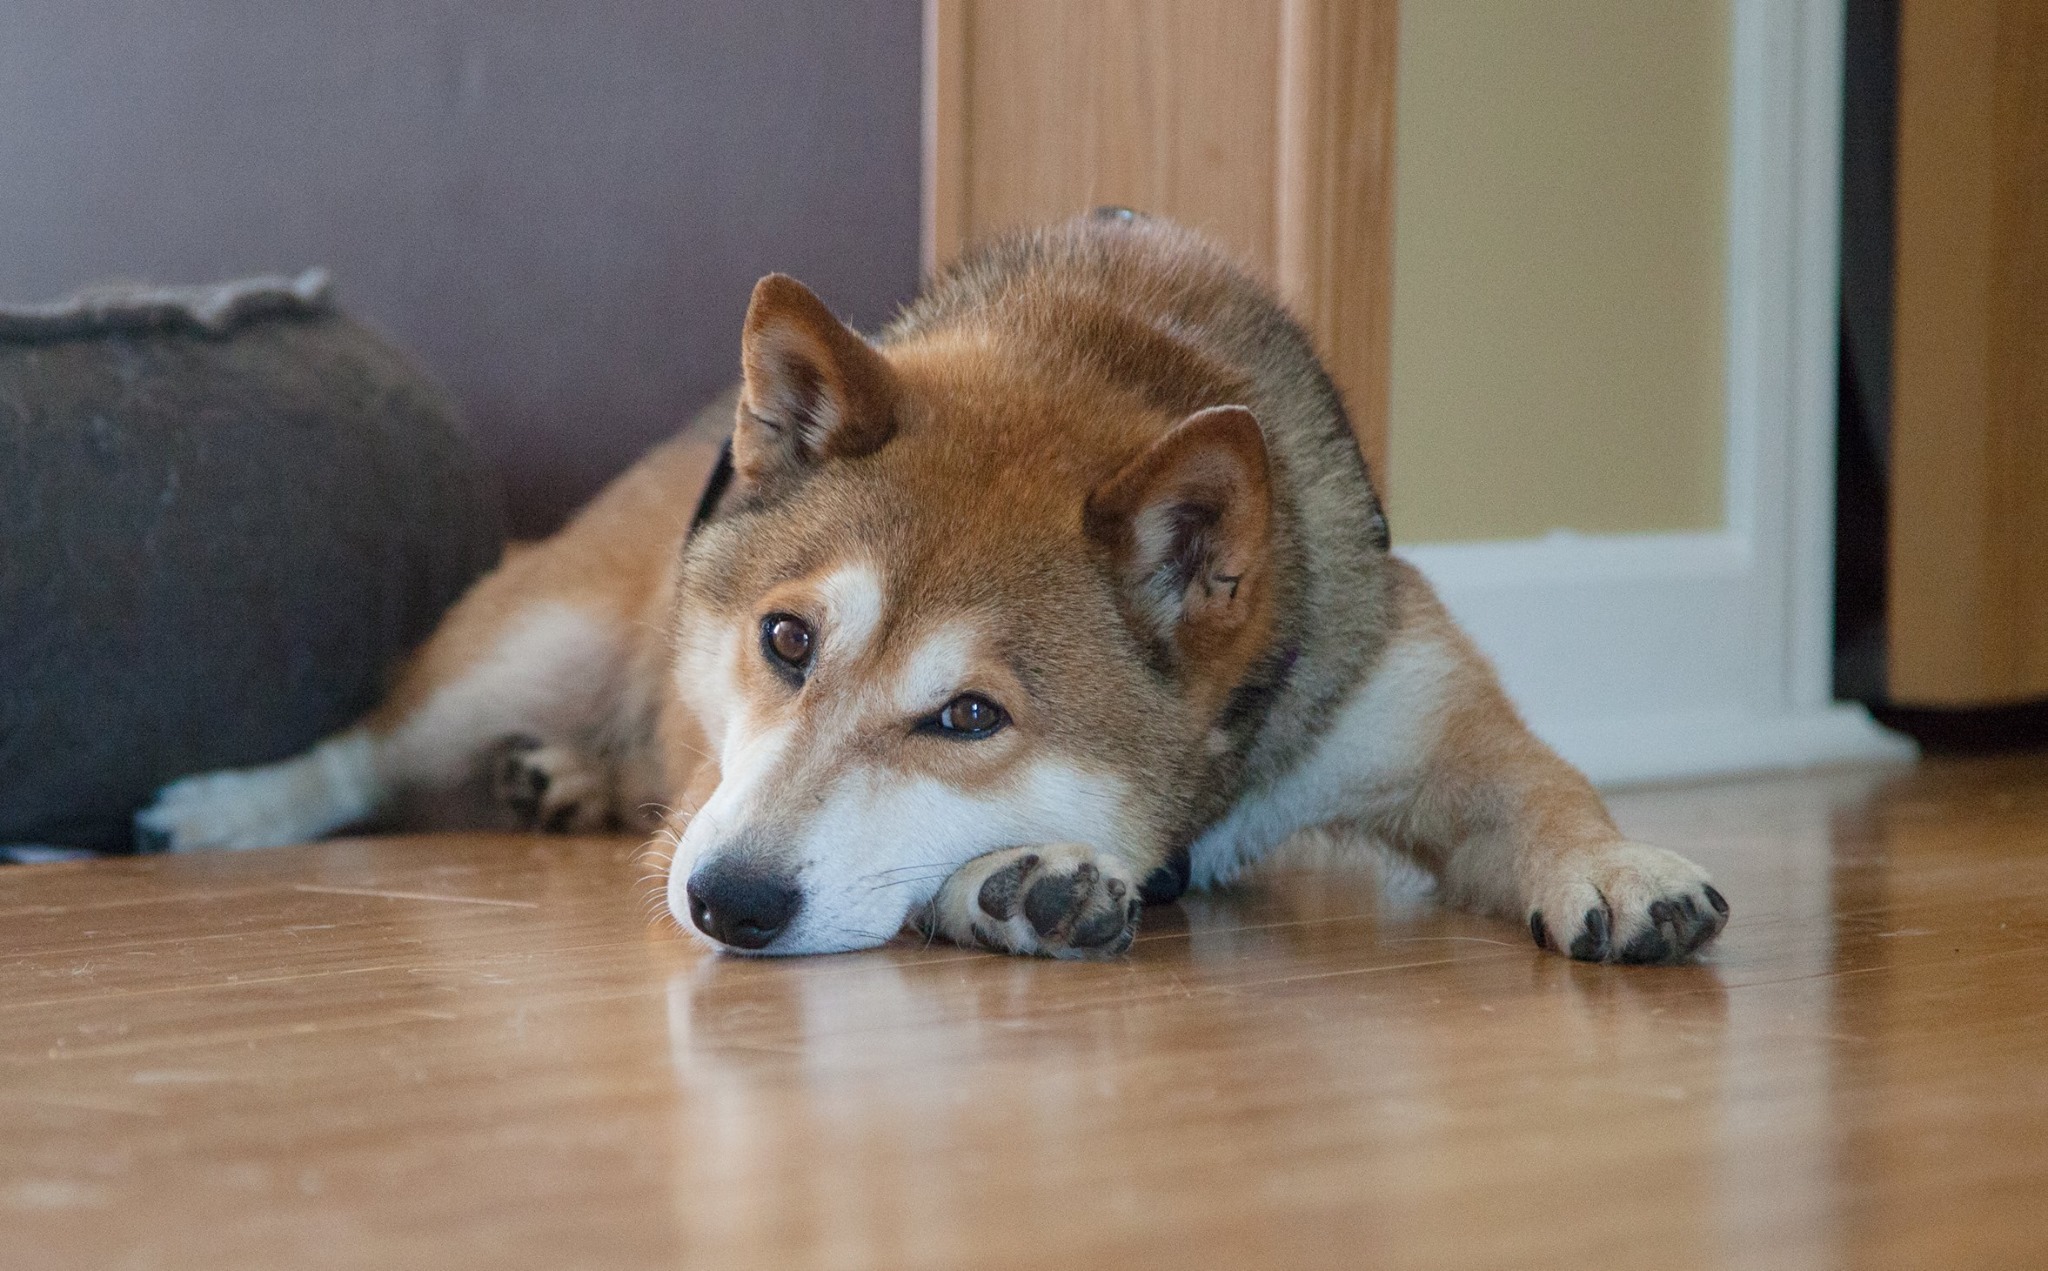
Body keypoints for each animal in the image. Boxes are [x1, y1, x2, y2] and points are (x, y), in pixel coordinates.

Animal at [132, 210, 1728, 961]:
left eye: (969, 717)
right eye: (785, 638)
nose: (727, 898)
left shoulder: (1405, 703)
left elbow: (1537, 787)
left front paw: (1616, 866)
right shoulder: (707, 762)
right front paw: (1019, 883)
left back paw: (568, 781)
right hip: (528, 636)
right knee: (368, 747)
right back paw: (229, 808)